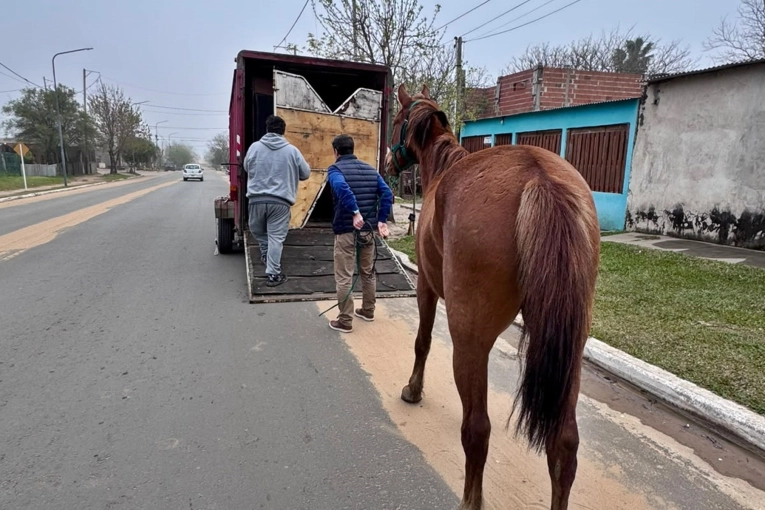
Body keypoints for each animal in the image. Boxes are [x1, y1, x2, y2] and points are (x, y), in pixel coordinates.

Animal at [384, 84, 601, 510]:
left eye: (398, 120)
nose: (386, 162)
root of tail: (538, 176)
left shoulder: (426, 287)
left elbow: (422, 342)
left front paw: (413, 390)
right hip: (571, 347)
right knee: (564, 444)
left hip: (470, 341)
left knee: (477, 430)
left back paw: (471, 499)